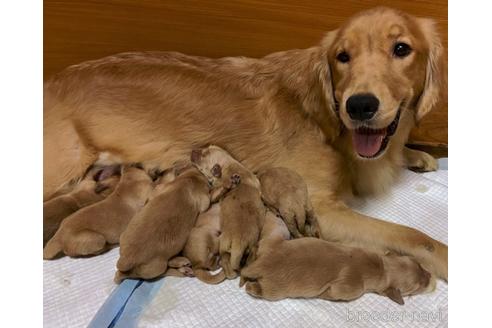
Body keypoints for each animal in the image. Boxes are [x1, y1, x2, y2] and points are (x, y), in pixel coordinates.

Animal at [241, 211, 434, 304]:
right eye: (416, 287)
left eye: (419, 264)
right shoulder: (350, 289)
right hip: (274, 290)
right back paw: (251, 287)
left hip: (275, 239)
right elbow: (334, 292)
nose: (430, 275)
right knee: (257, 289)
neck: (381, 267)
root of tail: (259, 264)